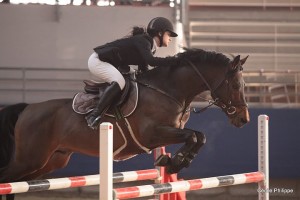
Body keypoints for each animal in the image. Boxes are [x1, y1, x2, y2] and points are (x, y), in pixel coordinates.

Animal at [0, 48, 248, 198]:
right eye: (236, 85)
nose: (243, 119)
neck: (168, 90)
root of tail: (28, 108)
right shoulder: (152, 134)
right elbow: (193, 135)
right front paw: (174, 162)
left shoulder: (170, 131)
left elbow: (199, 136)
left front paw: (171, 161)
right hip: (29, 159)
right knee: (6, 178)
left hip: (48, 162)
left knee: (14, 182)